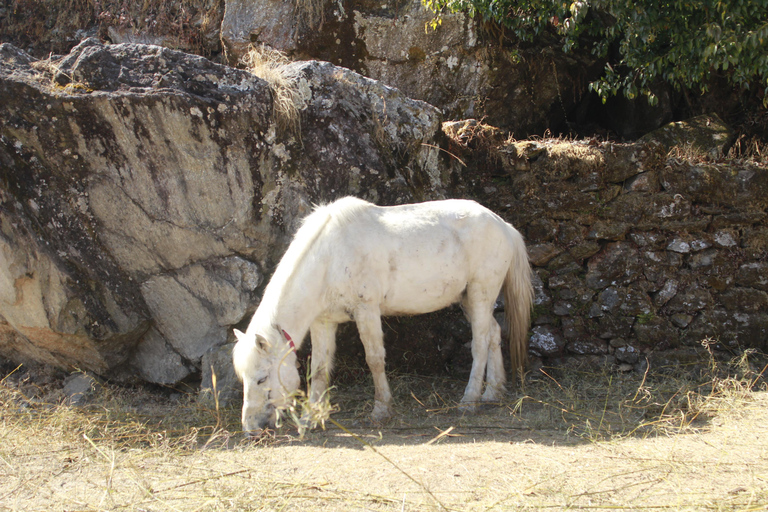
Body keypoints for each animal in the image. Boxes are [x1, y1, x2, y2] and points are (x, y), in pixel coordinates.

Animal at [234, 197, 536, 436]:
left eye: (261, 378)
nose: (250, 429)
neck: (329, 258)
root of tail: (503, 225)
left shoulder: (366, 310)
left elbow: (374, 360)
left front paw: (381, 410)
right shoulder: (324, 322)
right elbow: (318, 369)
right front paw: (311, 417)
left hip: (480, 293)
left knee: (480, 344)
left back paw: (470, 401)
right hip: (469, 300)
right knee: (493, 334)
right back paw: (492, 392)